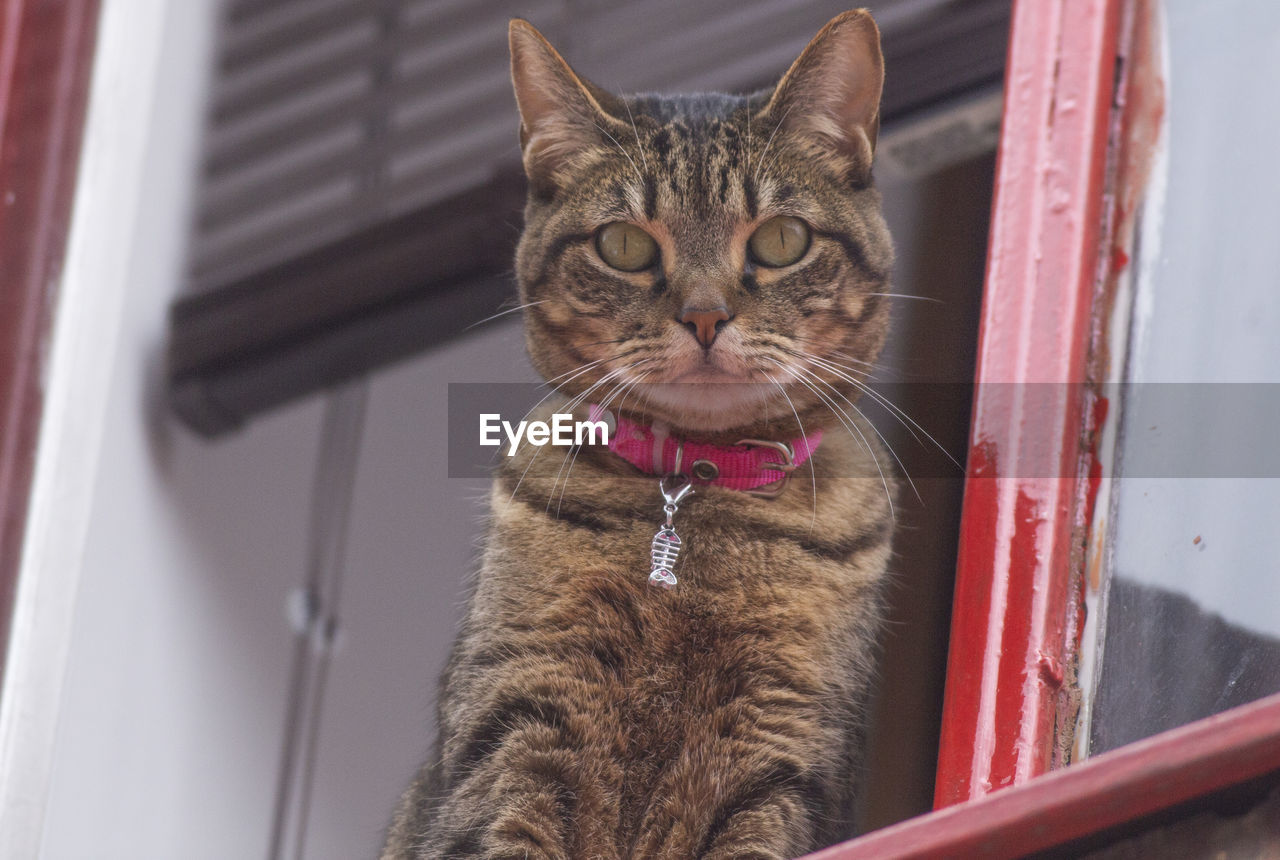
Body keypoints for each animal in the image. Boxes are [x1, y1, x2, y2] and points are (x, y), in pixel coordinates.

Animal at [384, 8, 896, 860]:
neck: (698, 495)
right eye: (623, 246)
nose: (704, 315)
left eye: (781, 240)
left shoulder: (781, 759)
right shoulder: (517, 724)